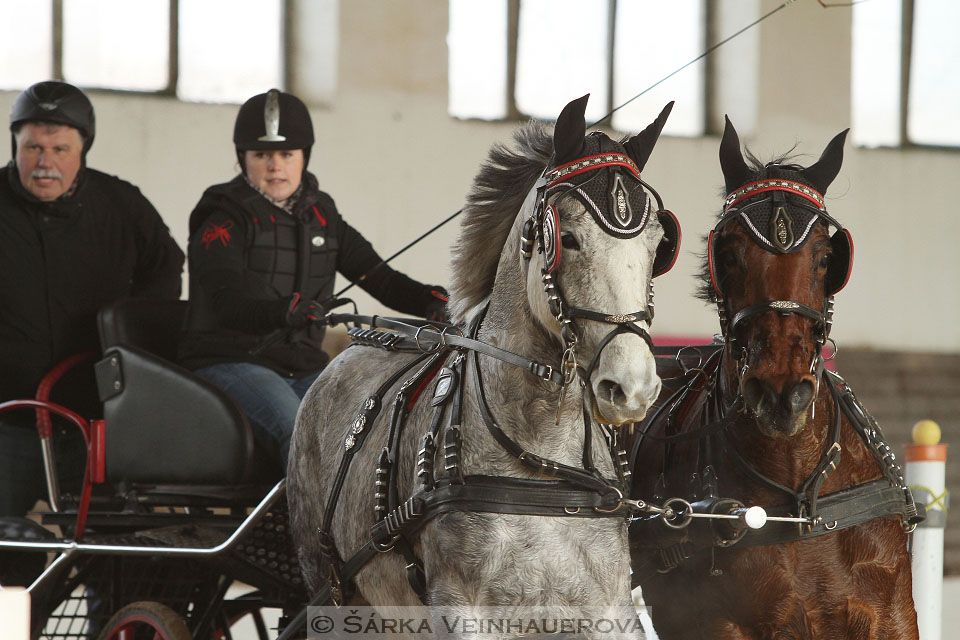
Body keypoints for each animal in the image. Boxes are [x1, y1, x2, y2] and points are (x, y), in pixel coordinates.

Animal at [288, 95, 680, 632]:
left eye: (659, 245)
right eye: (569, 238)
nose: (633, 386)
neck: (541, 461)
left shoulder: (610, 607)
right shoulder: (460, 608)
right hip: (333, 593)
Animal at [628, 119, 920, 636]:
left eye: (826, 257)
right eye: (726, 254)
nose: (781, 394)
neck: (798, 499)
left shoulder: (892, 617)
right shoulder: (711, 621)